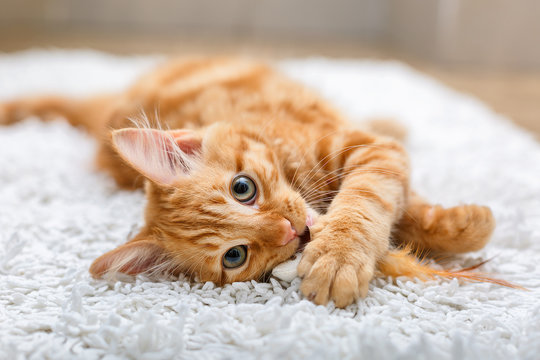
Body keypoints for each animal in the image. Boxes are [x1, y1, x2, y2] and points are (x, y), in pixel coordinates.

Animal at [0, 55, 498, 306]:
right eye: (235, 256)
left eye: (243, 188)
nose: (290, 232)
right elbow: (398, 207)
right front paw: (461, 226)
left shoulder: (366, 148)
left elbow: (369, 199)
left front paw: (339, 255)